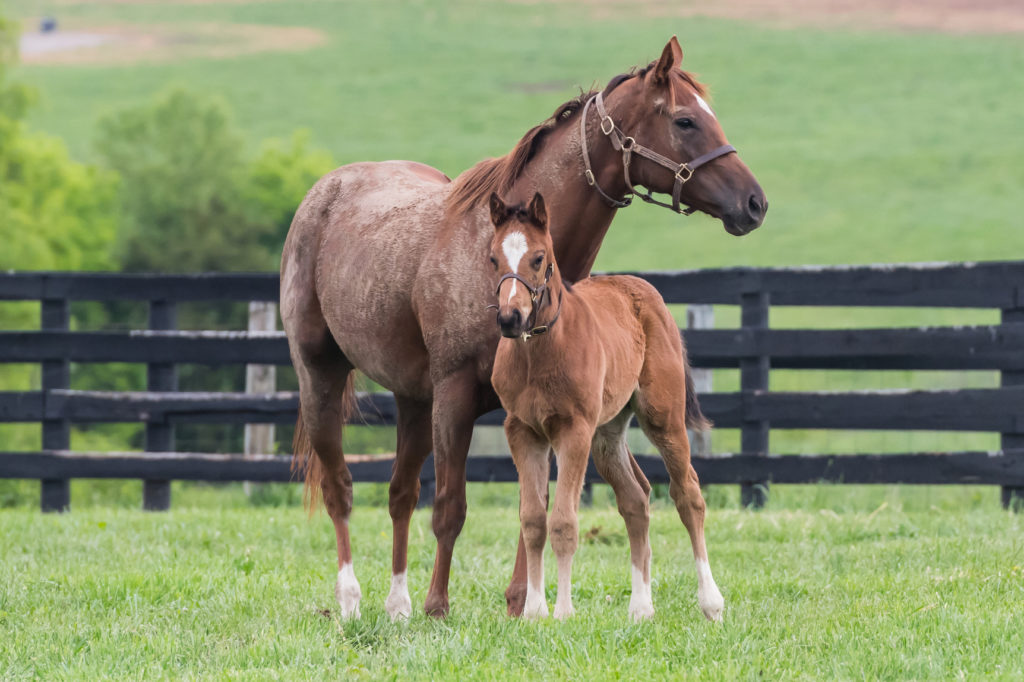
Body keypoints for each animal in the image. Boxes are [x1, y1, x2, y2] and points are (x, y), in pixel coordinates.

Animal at [487, 191, 724, 622]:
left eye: (539, 258)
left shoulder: (573, 429)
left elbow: (564, 522)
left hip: (662, 418)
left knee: (689, 495)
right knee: (636, 499)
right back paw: (641, 607)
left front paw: (563, 612)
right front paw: (533, 613)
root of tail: (643, 289)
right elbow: (533, 520)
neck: (541, 351)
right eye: (494, 258)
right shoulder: (522, 430)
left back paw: (711, 602)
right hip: (607, 433)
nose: (511, 318)